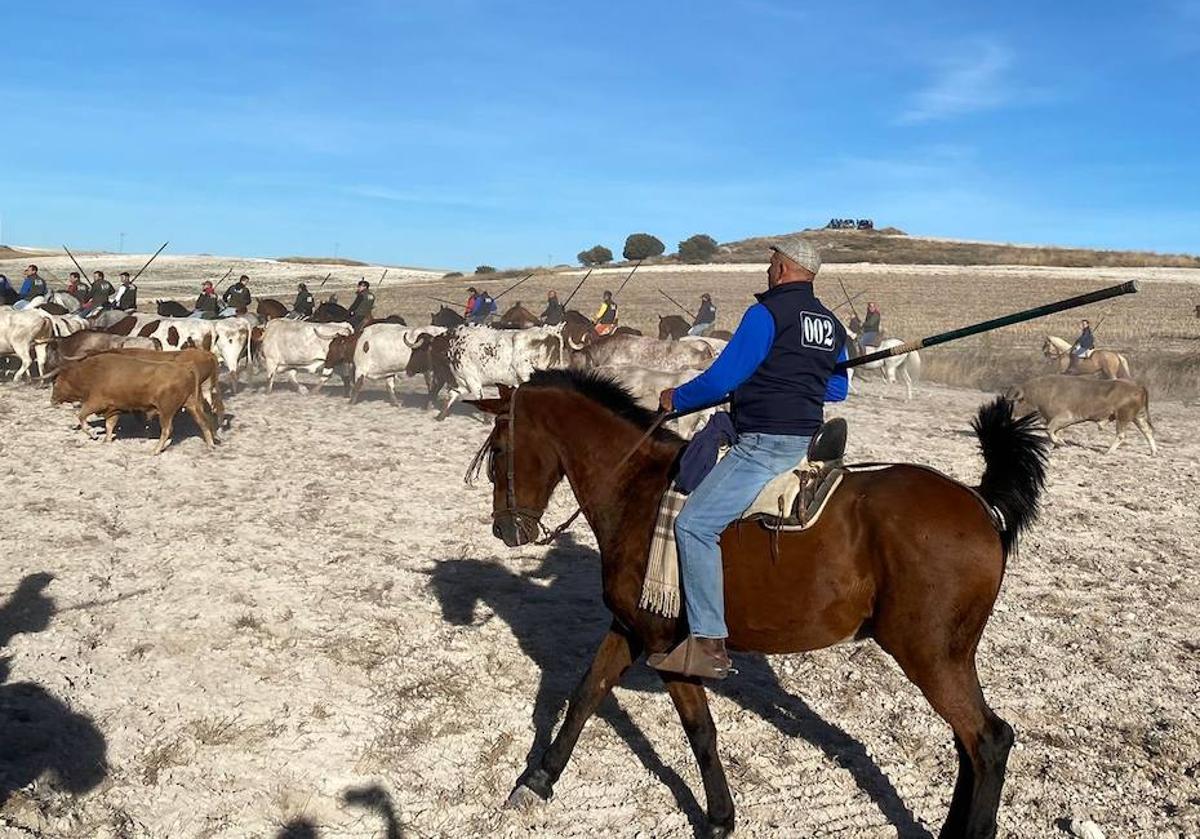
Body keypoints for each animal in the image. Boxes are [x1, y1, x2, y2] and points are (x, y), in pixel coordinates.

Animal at [470, 374, 1051, 839]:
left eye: (498, 450)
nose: (504, 530)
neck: (641, 493)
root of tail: (977, 502)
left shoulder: (667, 647)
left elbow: (701, 733)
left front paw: (720, 818)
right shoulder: (628, 628)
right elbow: (585, 695)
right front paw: (537, 781)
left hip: (930, 656)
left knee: (989, 740)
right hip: (946, 658)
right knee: (969, 744)